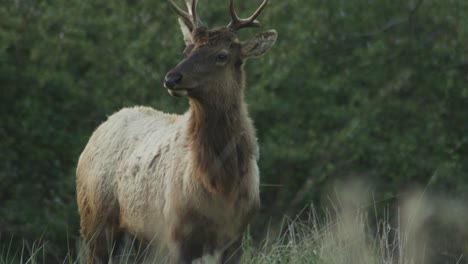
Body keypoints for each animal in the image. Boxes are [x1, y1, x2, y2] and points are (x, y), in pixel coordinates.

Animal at [75, 0, 276, 262]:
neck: (222, 184)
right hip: (94, 218)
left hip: (140, 236)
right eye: (186, 51)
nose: (172, 78)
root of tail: (98, 131)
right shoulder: (175, 231)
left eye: (221, 55)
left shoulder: (236, 235)